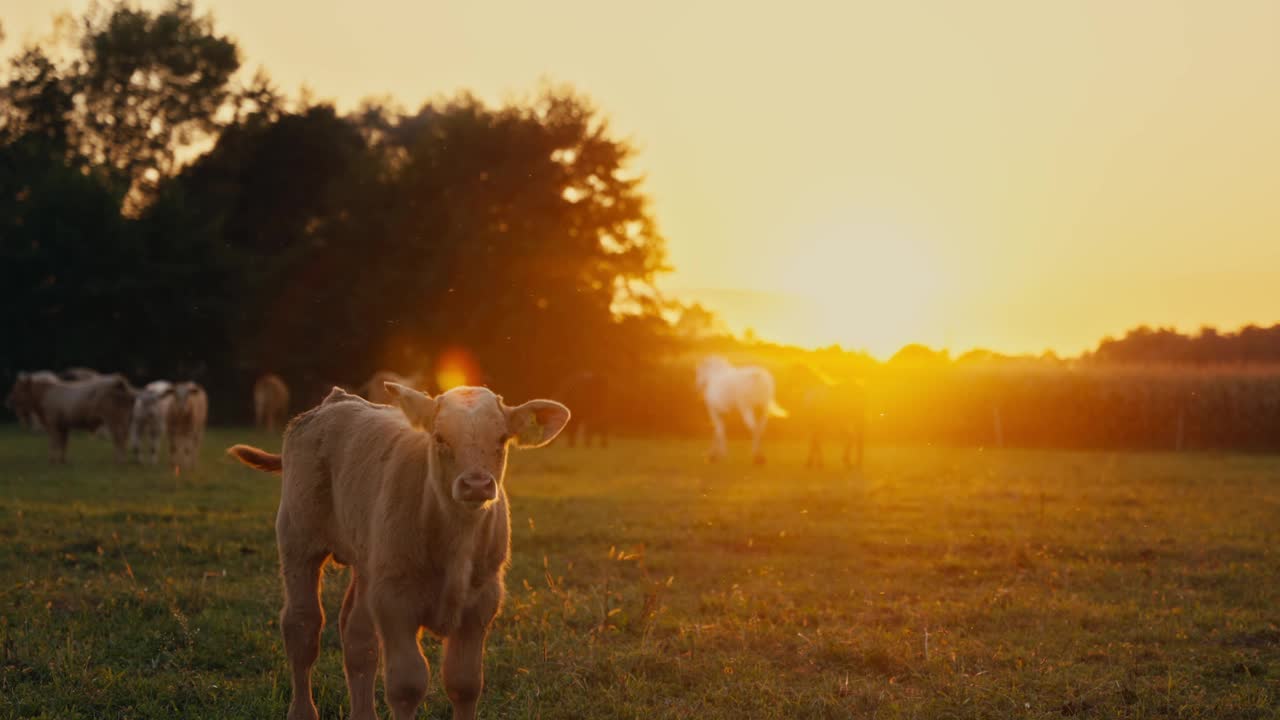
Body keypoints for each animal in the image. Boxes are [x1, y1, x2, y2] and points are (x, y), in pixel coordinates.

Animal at [227, 381, 568, 717]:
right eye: (439, 437)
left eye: (501, 438)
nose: (475, 484)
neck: (455, 540)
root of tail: (335, 399)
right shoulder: (394, 601)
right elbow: (407, 684)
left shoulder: (482, 601)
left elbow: (464, 681)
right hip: (298, 538)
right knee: (303, 627)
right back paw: (302, 710)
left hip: (367, 561)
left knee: (357, 637)